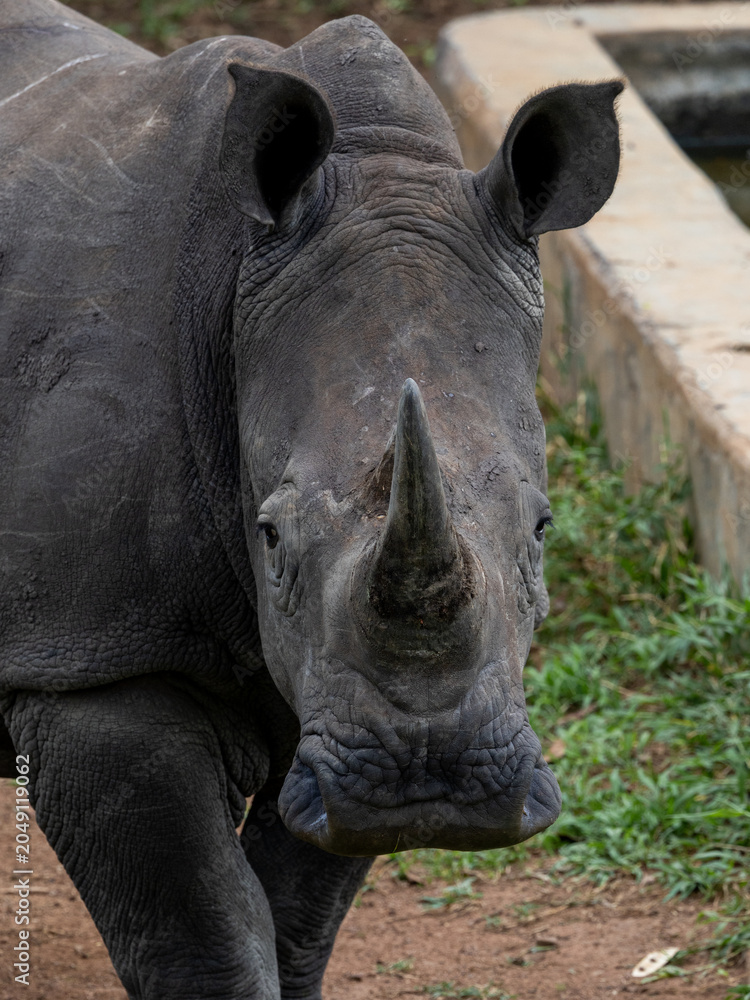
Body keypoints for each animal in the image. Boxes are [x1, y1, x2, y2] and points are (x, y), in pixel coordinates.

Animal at [0, 1, 622, 996]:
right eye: (271, 538)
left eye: (542, 528)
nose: (428, 780)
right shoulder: (90, 655)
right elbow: (202, 936)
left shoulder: (333, 697)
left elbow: (295, 917)